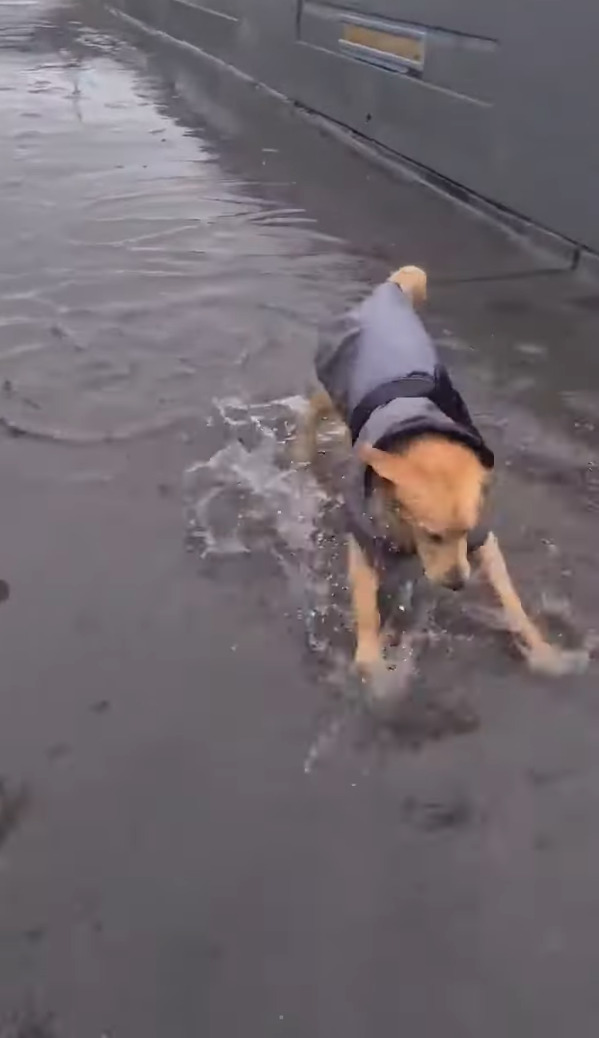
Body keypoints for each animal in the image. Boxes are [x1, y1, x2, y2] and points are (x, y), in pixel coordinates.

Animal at [296, 263, 585, 676]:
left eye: (465, 532)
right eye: (432, 535)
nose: (458, 583)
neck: (418, 427)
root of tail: (390, 291)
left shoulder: (483, 539)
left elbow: (511, 599)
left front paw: (541, 650)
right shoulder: (364, 543)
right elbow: (366, 609)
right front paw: (371, 664)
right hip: (331, 396)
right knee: (309, 416)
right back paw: (300, 453)